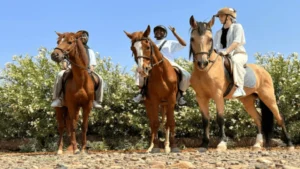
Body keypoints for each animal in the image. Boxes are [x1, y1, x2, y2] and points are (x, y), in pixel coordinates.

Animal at [124, 25, 180, 153]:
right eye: (132, 49)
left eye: (148, 47)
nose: (142, 70)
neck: (160, 73)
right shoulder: (154, 100)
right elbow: (155, 123)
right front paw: (155, 147)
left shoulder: (171, 99)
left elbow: (170, 122)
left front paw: (174, 146)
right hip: (149, 104)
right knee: (152, 123)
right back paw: (152, 146)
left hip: (165, 104)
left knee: (166, 123)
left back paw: (167, 146)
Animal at [189, 15, 294, 151]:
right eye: (192, 39)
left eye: (210, 39)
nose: (202, 63)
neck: (206, 71)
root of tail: (264, 71)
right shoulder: (201, 97)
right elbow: (205, 120)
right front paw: (204, 144)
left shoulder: (218, 95)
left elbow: (220, 118)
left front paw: (222, 143)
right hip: (248, 101)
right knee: (258, 119)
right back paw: (257, 144)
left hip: (268, 97)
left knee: (279, 117)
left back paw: (290, 144)